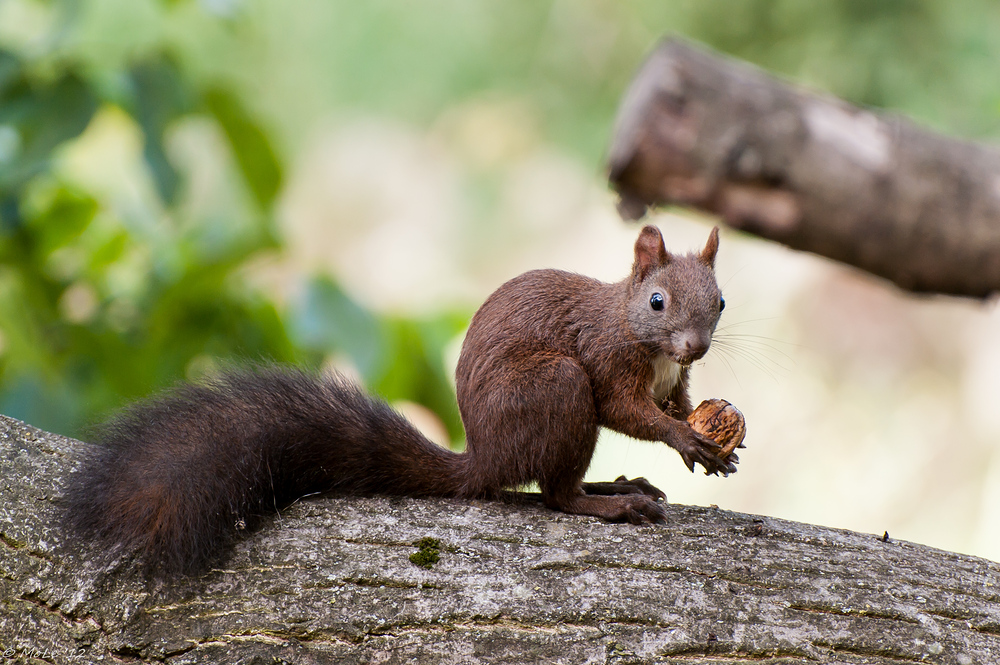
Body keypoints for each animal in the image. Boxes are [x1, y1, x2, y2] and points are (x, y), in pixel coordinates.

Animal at [62, 223, 736, 572]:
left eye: (722, 301)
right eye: (657, 302)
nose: (696, 346)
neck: (638, 332)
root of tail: (483, 456)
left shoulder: (674, 381)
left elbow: (675, 403)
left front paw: (708, 440)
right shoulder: (603, 358)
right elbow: (627, 410)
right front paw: (687, 439)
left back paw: (619, 485)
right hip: (557, 390)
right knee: (555, 495)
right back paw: (613, 503)